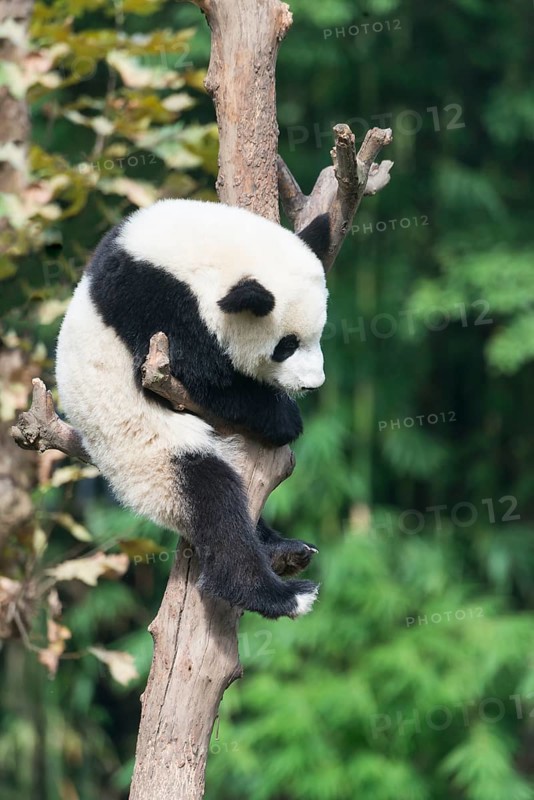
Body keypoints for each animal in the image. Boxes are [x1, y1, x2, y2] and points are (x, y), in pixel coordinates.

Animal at [56, 199, 330, 619]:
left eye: (318, 334)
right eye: (286, 345)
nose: (313, 383)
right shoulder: (153, 304)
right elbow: (205, 379)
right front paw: (284, 418)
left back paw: (284, 548)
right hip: (150, 454)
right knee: (212, 498)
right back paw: (275, 593)